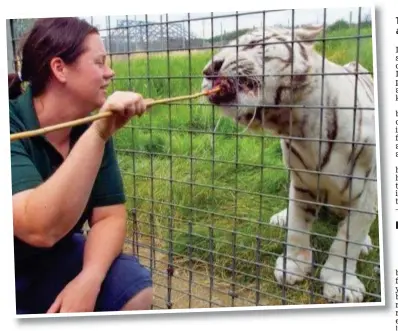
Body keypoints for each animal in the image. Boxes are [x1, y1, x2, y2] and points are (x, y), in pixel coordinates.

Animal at [201, 24, 378, 304]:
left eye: (252, 44)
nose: (209, 69)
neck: (296, 122)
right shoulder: (302, 180)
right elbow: (297, 223)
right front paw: (293, 266)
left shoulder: (366, 188)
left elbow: (348, 238)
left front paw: (341, 285)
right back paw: (280, 218)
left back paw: (366, 244)